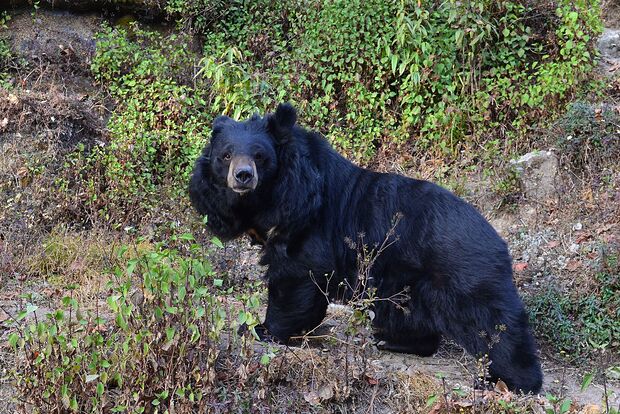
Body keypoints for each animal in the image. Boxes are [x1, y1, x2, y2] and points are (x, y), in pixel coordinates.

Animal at [189, 102, 544, 392]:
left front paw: (262, 329)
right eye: (225, 156)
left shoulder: (307, 221)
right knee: (409, 316)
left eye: (260, 157)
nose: (243, 176)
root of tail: (497, 239)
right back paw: (391, 341)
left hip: (463, 275)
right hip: (407, 281)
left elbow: (296, 275)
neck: (271, 198)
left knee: (494, 326)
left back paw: (510, 381)